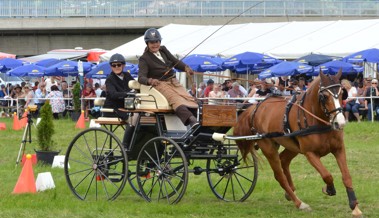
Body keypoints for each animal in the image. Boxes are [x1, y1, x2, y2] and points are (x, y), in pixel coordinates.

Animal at [235, 71, 362, 216]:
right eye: (324, 96)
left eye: (342, 94)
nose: (340, 123)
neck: (317, 121)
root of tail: (255, 108)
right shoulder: (310, 153)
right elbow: (327, 175)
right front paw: (329, 189)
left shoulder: (339, 149)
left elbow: (346, 176)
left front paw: (354, 205)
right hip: (269, 148)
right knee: (279, 176)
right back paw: (299, 203)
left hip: (292, 146)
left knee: (284, 160)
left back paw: (290, 192)